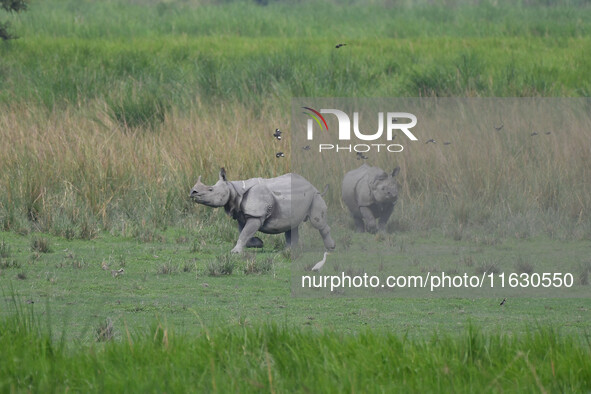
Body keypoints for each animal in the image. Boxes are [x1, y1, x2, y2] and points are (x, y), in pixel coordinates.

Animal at [191, 168, 336, 254]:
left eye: (210, 190)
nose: (193, 192)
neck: (233, 189)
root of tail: (312, 185)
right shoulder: (242, 215)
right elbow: (243, 233)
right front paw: (258, 243)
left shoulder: (256, 215)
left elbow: (244, 233)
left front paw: (235, 252)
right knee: (292, 225)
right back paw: (287, 251)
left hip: (314, 196)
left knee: (317, 223)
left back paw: (331, 248)